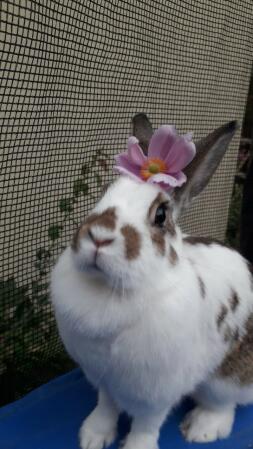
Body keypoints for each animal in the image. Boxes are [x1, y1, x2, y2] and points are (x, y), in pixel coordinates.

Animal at [49, 113, 253, 449]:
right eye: (104, 193)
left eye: (160, 215)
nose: (99, 237)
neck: (110, 289)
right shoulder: (104, 378)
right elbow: (106, 406)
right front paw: (93, 437)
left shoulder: (156, 391)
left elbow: (146, 423)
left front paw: (136, 446)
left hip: (226, 379)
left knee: (225, 404)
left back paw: (202, 428)